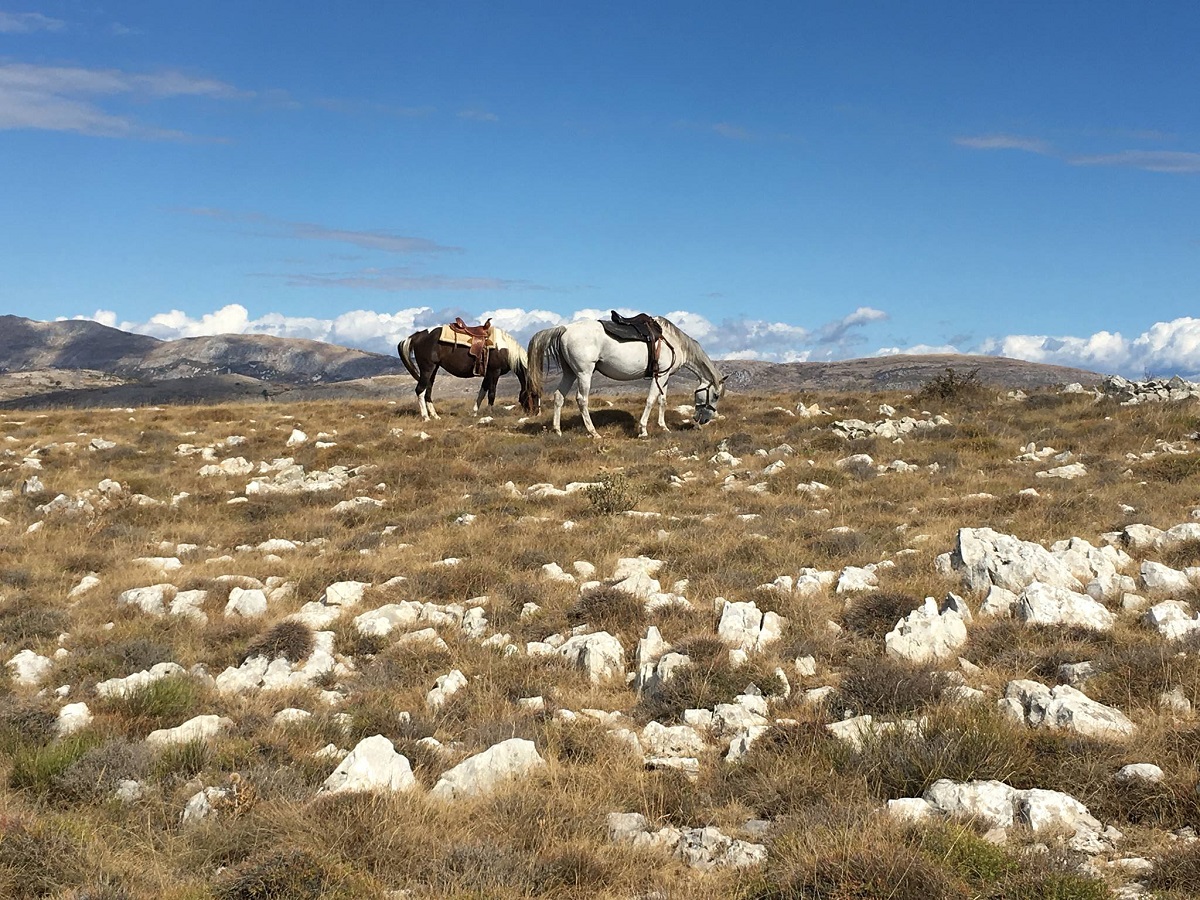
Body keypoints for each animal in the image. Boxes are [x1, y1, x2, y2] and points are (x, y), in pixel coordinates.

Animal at [396, 324, 532, 422]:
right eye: (533, 395)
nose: (533, 413)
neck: (503, 348)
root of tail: (416, 336)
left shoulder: (488, 374)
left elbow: (482, 393)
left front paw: (475, 413)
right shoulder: (494, 371)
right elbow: (492, 394)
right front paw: (490, 414)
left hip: (433, 369)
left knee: (428, 390)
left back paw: (435, 416)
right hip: (427, 368)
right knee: (420, 390)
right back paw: (426, 417)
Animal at [523, 319, 720, 439]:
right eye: (716, 395)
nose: (705, 419)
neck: (672, 341)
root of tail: (565, 329)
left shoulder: (665, 377)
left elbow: (662, 400)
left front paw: (664, 427)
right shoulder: (660, 375)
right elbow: (650, 400)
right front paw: (643, 430)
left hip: (570, 373)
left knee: (558, 397)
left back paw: (557, 430)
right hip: (584, 373)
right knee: (582, 400)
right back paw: (593, 432)